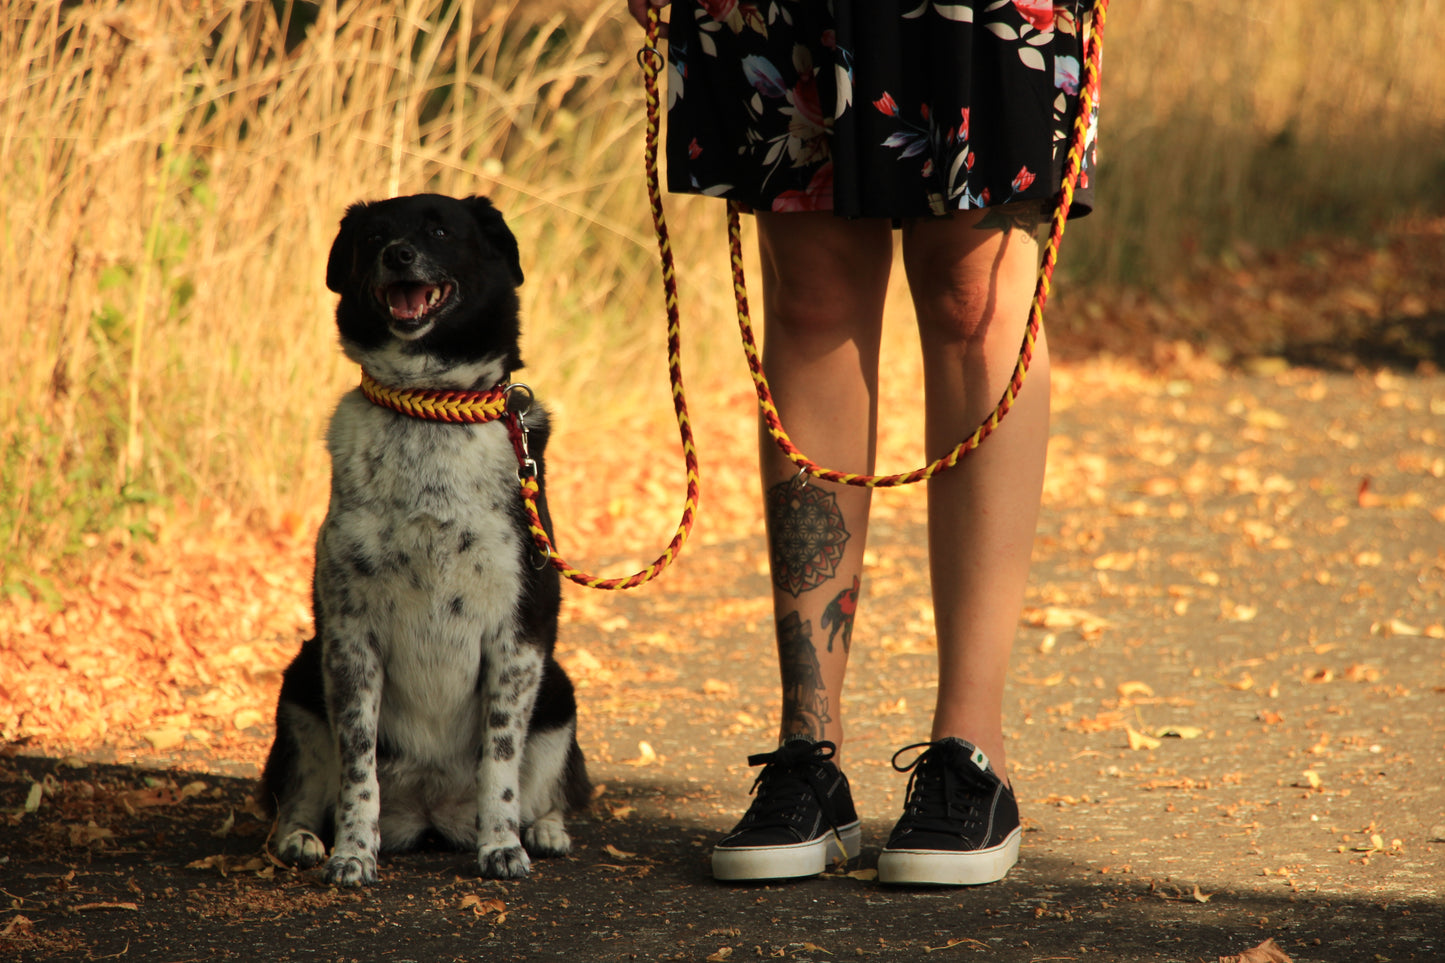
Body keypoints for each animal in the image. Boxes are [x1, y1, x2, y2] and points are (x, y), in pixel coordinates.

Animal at [262, 193, 589, 884]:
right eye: (374, 236)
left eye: (439, 229)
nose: (398, 254)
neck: (429, 407)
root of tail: (432, 814)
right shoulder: (349, 637)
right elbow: (358, 766)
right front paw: (354, 854)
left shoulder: (519, 636)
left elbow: (501, 761)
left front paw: (502, 846)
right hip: (302, 685)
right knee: (295, 801)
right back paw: (304, 840)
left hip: (559, 692)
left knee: (545, 791)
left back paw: (543, 831)